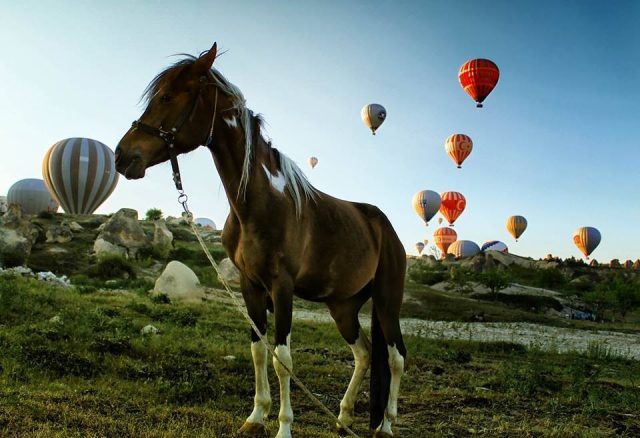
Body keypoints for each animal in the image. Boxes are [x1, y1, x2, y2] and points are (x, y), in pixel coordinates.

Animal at [114, 42, 404, 438]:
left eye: (168, 96)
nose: (121, 156)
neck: (260, 202)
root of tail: (385, 228)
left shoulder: (282, 288)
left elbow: (283, 358)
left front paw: (283, 426)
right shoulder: (250, 286)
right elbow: (258, 351)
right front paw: (255, 417)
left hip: (388, 301)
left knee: (395, 356)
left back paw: (385, 425)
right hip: (342, 305)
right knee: (363, 352)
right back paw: (343, 417)